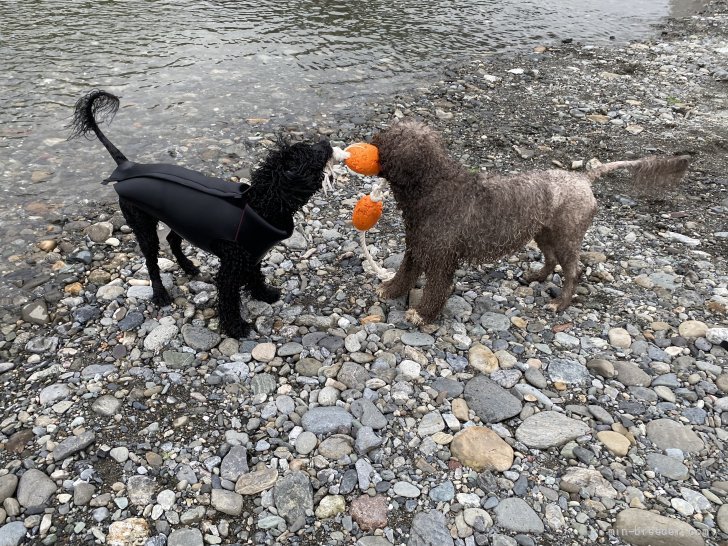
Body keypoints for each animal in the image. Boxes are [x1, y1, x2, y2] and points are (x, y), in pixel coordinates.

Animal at [69, 89, 332, 336]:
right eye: (311, 154)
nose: (327, 142)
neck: (260, 205)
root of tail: (126, 167)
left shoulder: (251, 256)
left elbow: (256, 278)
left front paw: (265, 295)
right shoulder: (231, 268)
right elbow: (229, 301)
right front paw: (236, 327)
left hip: (180, 221)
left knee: (172, 240)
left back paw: (187, 266)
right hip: (142, 225)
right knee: (152, 261)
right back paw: (160, 293)